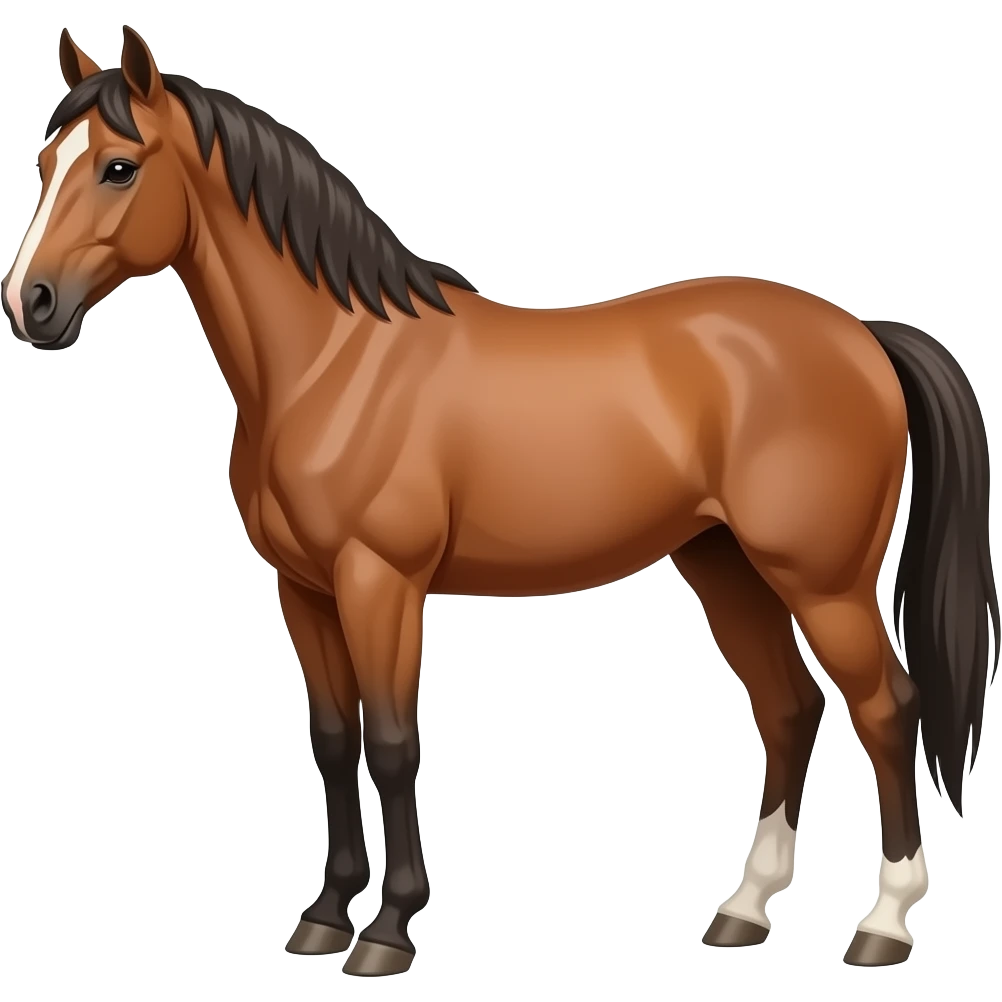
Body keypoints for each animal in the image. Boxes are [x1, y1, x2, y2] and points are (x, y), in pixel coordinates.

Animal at [3, 25, 997, 974]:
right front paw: (325, 915)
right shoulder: (305, 589)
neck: (335, 361)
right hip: (725, 564)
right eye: (46, 164)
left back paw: (885, 924)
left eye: (119, 166)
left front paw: (388, 931)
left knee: (887, 709)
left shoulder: (381, 582)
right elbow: (332, 739)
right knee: (788, 706)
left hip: (822, 581)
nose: (29, 303)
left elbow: (393, 742)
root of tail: (861, 335)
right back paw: (744, 911)